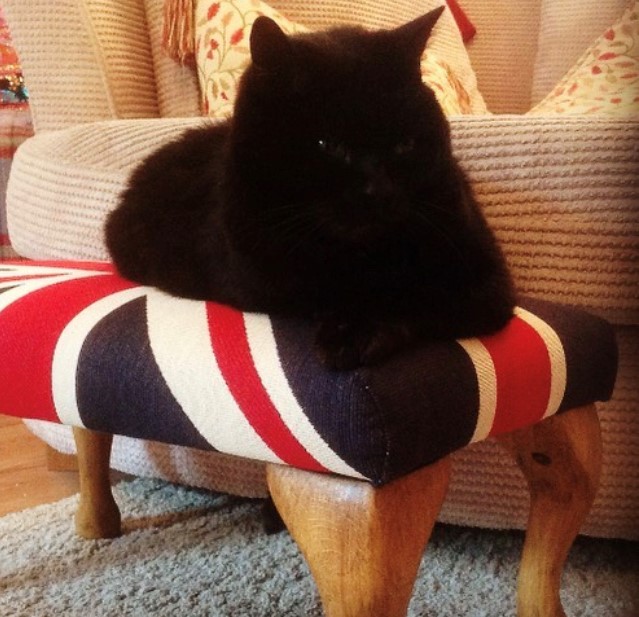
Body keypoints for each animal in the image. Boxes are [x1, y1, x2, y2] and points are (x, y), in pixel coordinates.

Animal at [105, 8, 516, 370]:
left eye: (404, 145)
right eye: (327, 145)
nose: (378, 191)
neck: (362, 253)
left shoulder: (487, 283)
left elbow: (416, 293)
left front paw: (356, 333)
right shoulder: (265, 278)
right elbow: (336, 288)